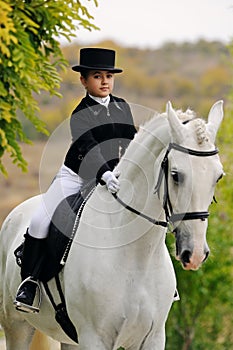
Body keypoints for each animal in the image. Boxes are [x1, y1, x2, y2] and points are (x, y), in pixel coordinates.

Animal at [0, 100, 224, 348]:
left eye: (218, 176)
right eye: (176, 175)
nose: (194, 254)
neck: (137, 257)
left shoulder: (153, 337)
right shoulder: (94, 338)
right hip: (17, 326)